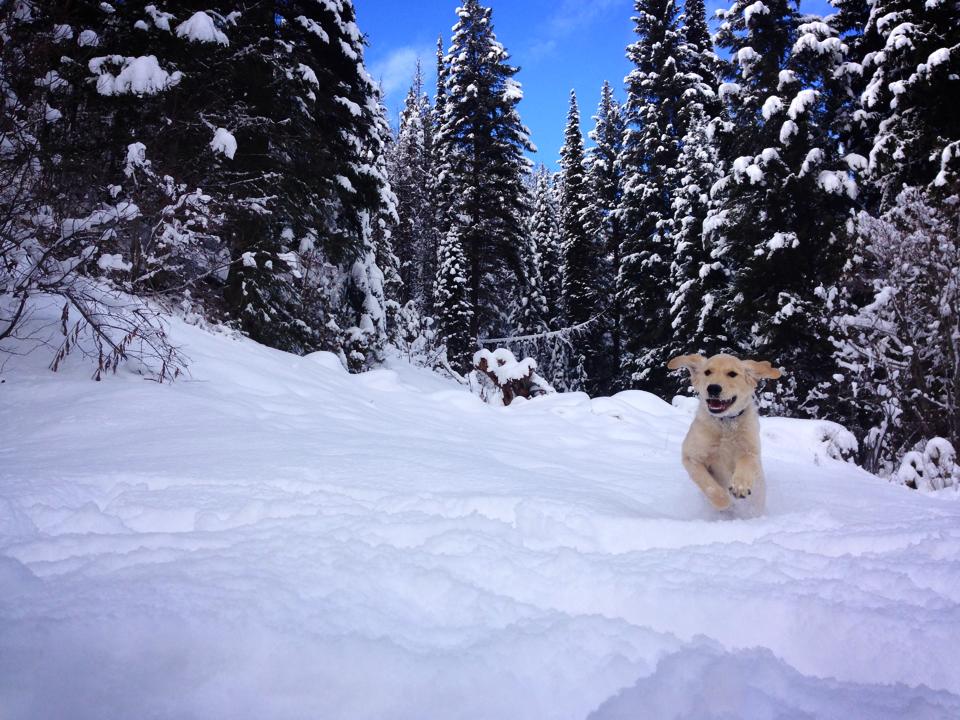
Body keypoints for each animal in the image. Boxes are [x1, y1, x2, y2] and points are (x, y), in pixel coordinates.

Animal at [668, 352, 780, 512]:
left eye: (732, 374)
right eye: (707, 372)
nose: (713, 388)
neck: (725, 423)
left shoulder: (751, 450)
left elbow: (746, 461)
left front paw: (740, 486)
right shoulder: (691, 457)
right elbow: (708, 484)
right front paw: (724, 501)